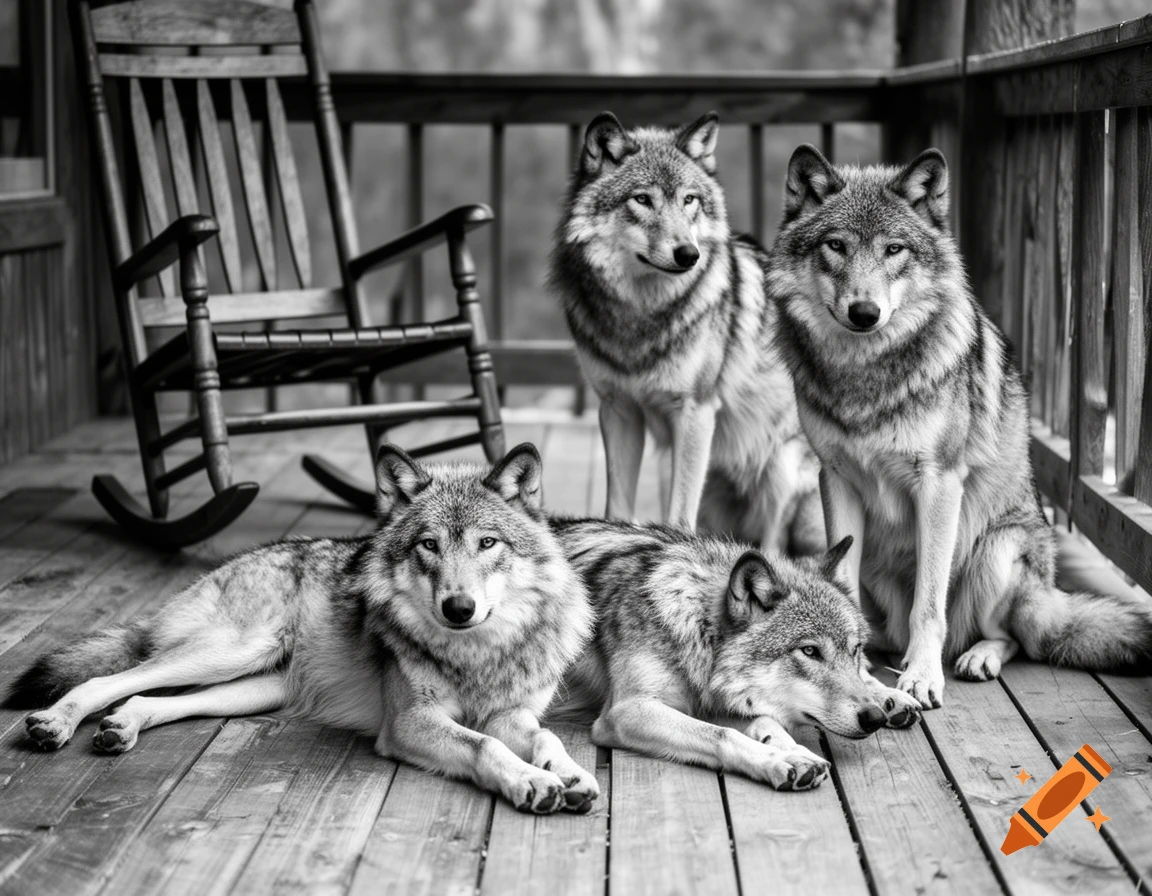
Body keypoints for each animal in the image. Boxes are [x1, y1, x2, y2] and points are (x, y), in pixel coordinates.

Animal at [5, 444, 599, 814]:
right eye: (429, 545)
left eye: (487, 543)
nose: (459, 607)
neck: (479, 653)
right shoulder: (409, 723)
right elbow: (485, 748)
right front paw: (532, 780)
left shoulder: (512, 714)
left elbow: (543, 735)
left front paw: (568, 774)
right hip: (230, 652)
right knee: (108, 681)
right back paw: (54, 725)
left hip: (247, 691)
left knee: (150, 699)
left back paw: (121, 728)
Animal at [549, 111, 823, 555]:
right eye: (642, 200)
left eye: (689, 200)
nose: (688, 254)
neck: (639, 318)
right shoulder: (618, 411)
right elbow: (616, 509)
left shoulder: (695, 411)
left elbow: (678, 518)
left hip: (781, 467)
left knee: (777, 545)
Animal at [550, 518, 920, 790]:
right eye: (810, 651)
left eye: (854, 649)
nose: (873, 718)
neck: (696, 626)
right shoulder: (626, 711)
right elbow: (722, 733)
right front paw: (779, 760)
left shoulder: (716, 698)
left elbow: (765, 722)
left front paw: (792, 751)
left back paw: (892, 699)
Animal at [768, 143, 1152, 710]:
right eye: (836, 246)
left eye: (894, 249)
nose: (865, 312)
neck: (866, 376)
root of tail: (1049, 597)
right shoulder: (835, 478)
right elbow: (847, 593)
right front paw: (856, 665)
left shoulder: (939, 482)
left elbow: (930, 604)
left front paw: (922, 677)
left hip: (997, 551)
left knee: (1010, 638)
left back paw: (976, 657)